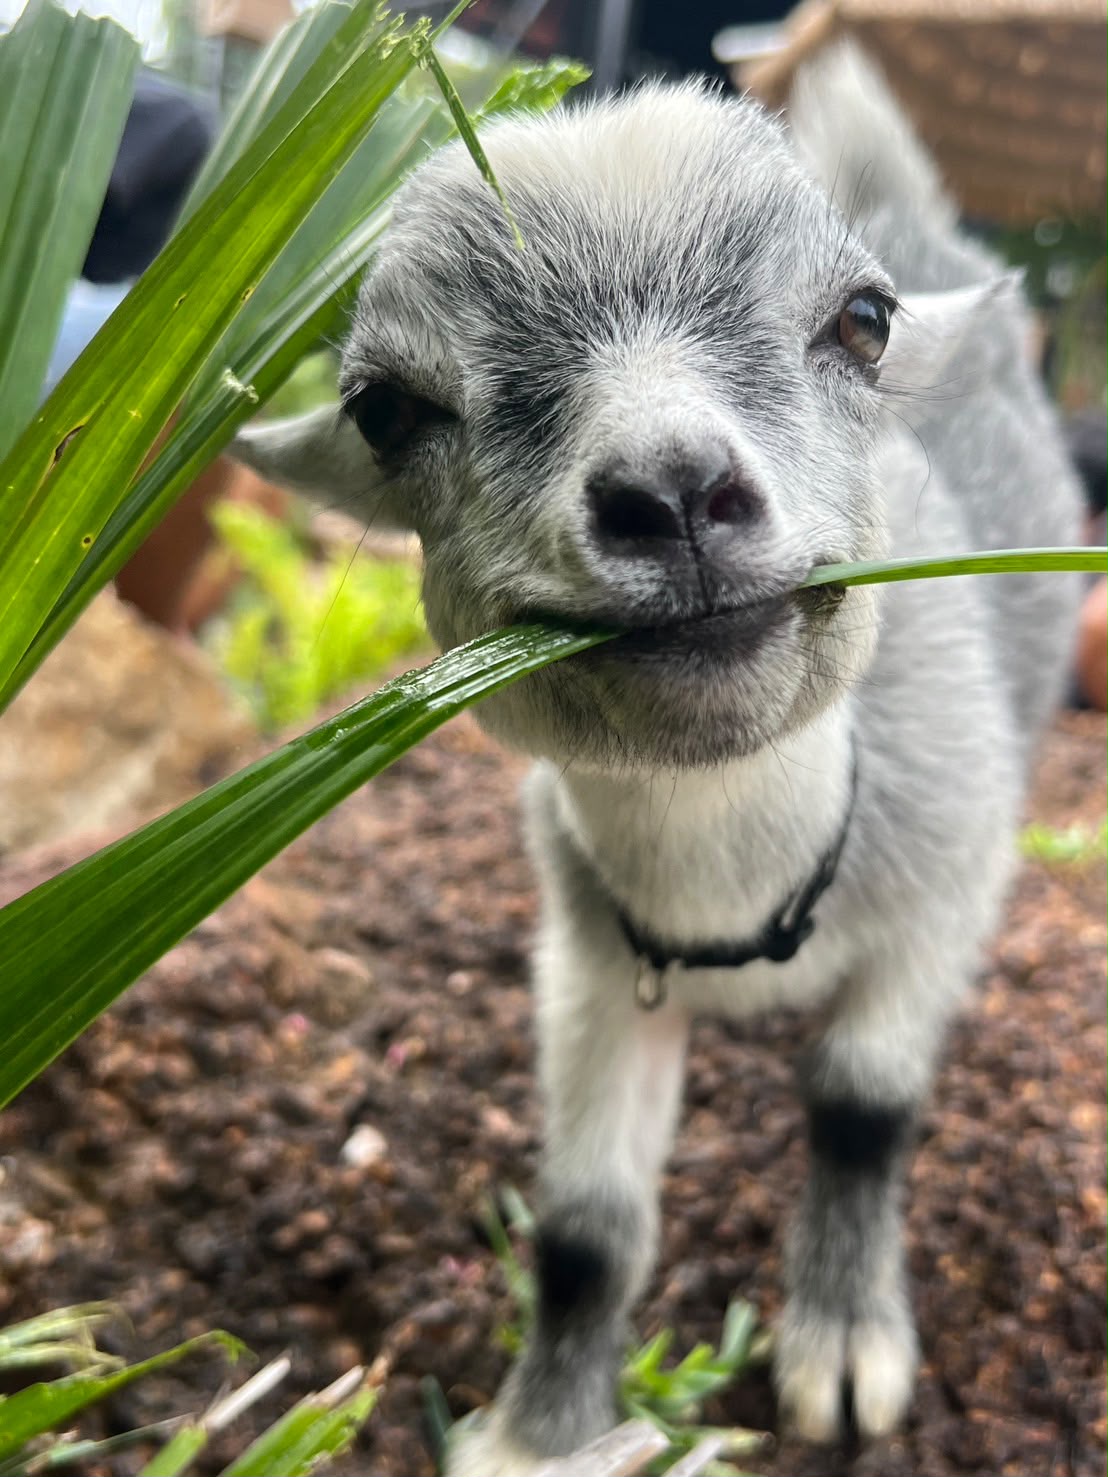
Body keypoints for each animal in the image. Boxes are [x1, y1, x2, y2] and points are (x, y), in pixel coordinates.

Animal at [233, 44, 1083, 1472]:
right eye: (385, 410)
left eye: (861, 321)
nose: (674, 491)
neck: (737, 878)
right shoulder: (587, 963)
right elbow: (584, 1229)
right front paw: (538, 1436)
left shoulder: (943, 893)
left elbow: (860, 1105)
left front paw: (841, 1344)